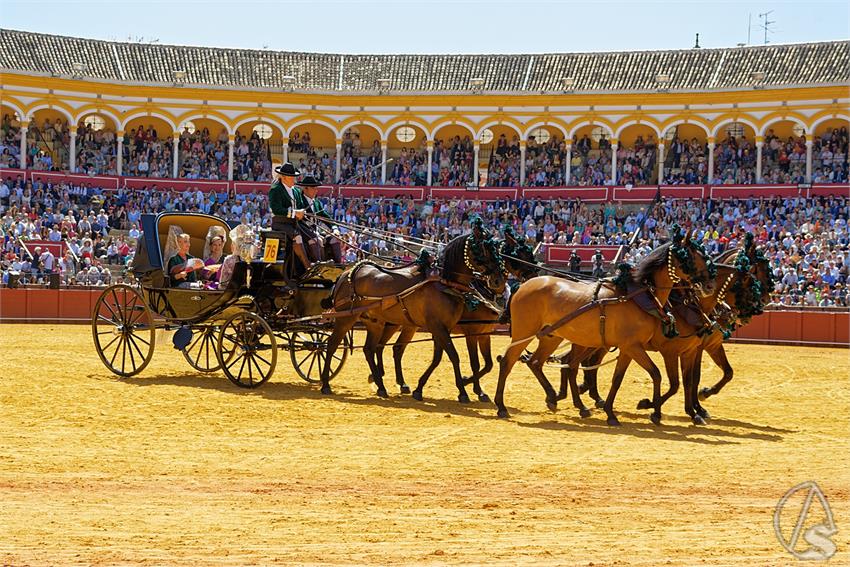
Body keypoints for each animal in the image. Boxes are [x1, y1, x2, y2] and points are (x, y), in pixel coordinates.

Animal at [318, 221, 504, 404]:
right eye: (483, 248)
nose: (499, 282)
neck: (445, 283)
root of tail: (346, 274)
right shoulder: (447, 328)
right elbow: (455, 356)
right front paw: (464, 391)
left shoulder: (446, 328)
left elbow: (440, 358)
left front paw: (420, 388)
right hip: (347, 318)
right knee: (332, 345)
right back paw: (326, 383)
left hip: (376, 322)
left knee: (371, 349)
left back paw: (381, 386)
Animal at [490, 227, 716, 426]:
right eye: (691, 257)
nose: (709, 285)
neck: (637, 296)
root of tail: (523, 285)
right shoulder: (640, 347)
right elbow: (657, 374)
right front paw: (654, 411)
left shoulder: (628, 348)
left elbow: (618, 379)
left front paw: (611, 412)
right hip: (525, 333)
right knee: (509, 362)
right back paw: (501, 406)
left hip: (552, 336)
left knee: (541, 362)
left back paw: (558, 399)